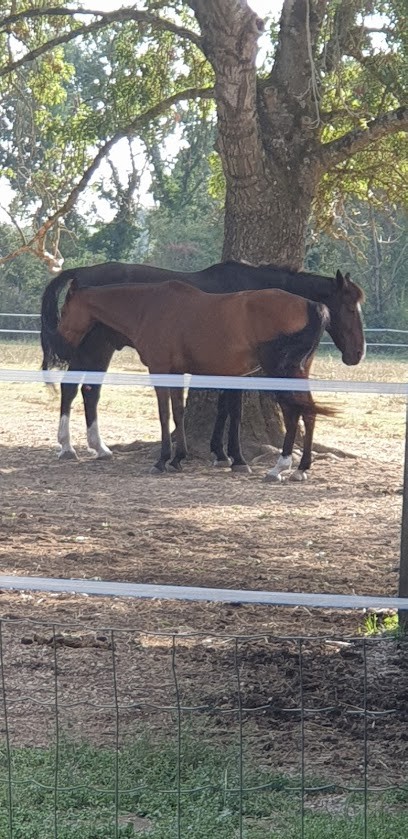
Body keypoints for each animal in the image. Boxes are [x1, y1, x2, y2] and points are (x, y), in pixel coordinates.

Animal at [40, 260, 365, 478]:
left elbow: (185, 412)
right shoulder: (190, 372)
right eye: (350, 307)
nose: (357, 354)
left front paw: (186, 458)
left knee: (299, 410)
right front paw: (200, 457)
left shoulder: (176, 371)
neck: (150, 305)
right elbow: (184, 411)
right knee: (79, 389)